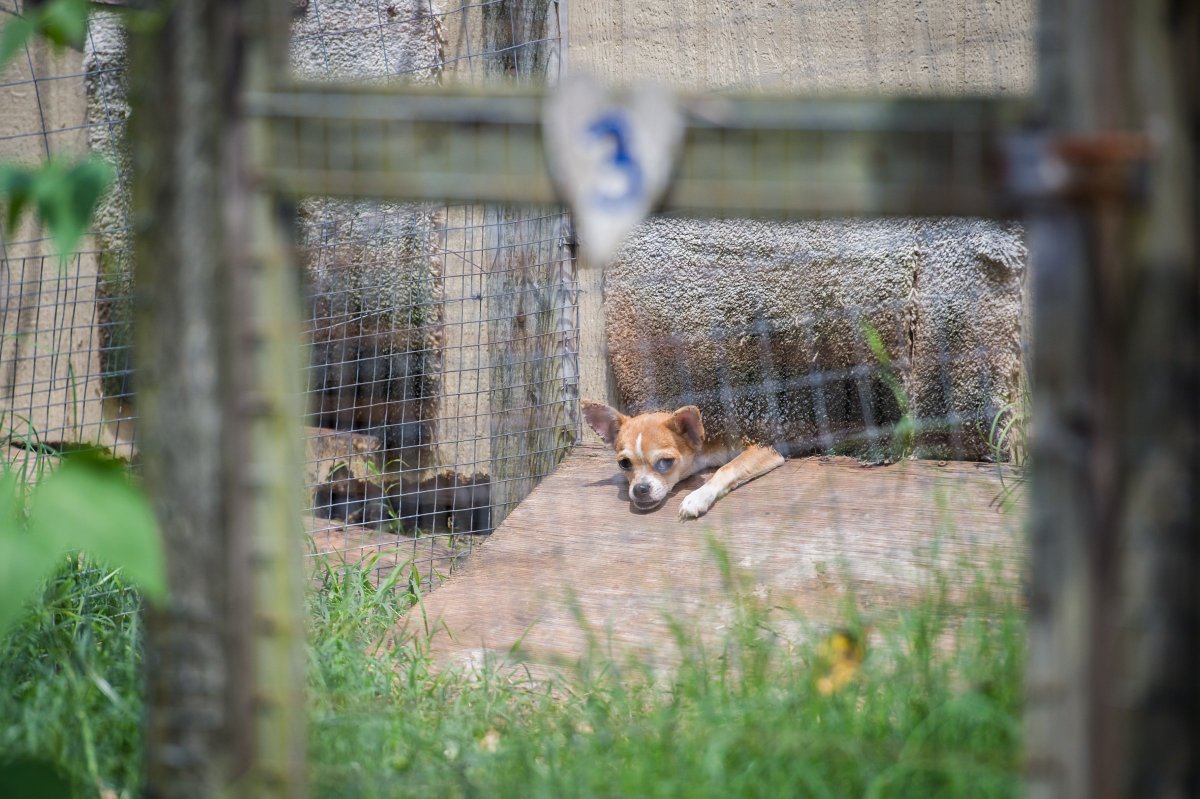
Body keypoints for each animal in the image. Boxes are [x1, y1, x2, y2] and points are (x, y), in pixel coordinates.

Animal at [583, 398, 787, 515]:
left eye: (665, 462)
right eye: (624, 463)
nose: (640, 489)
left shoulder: (765, 448)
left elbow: (727, 468)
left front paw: (698, 497)